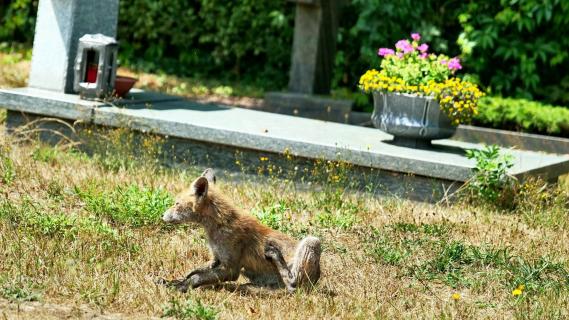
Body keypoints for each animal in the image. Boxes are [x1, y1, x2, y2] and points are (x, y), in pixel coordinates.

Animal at [160, 169, 320, 294]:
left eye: (176, 204)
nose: (162, 216)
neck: (220, 225)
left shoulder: (231, 268)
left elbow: (196, 278)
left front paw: (181, 287)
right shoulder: (217, 259)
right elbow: (195, 272)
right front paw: (174, 281)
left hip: (312, 241)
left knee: (293, 286)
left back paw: (277, 258)